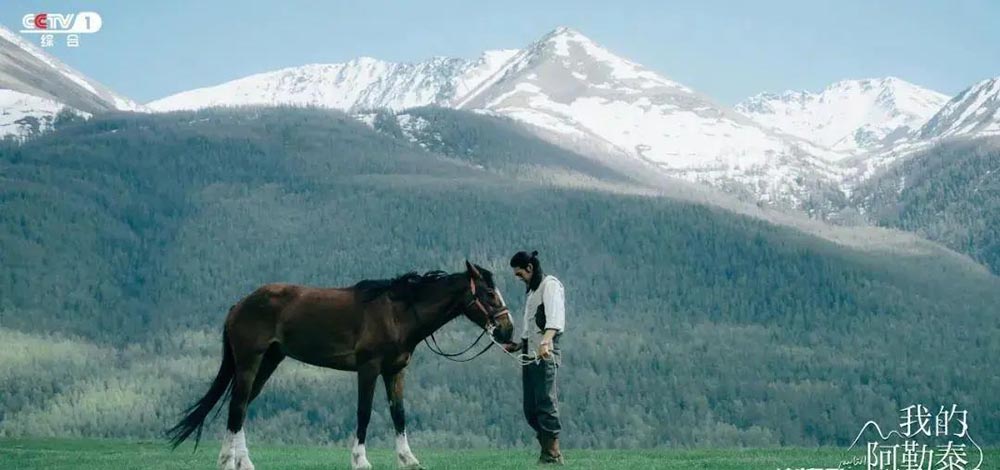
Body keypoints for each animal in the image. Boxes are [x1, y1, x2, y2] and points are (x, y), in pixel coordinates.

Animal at [168, 260, 512, 470]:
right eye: (489, 293)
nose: (507, 331)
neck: (397, 313)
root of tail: (239, 305)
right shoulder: (368, 368)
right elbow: (364, 413)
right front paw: (360, 460)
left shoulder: (395, 371)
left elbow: (399, 414)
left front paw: (408, 459)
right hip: (250, 363)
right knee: (238, 407)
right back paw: (236, 461)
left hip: (268, 362)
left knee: (238, 409)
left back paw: (234, 461)